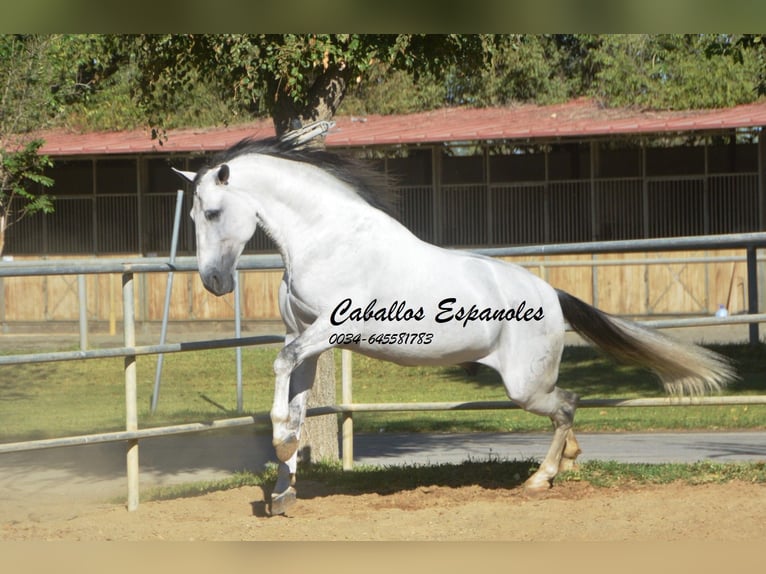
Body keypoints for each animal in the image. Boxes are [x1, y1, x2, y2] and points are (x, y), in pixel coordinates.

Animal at [174, 140, 736, 516]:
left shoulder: (329, 333)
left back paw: (540, 479)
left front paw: (280, 450)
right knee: (568, 407)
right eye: (195, 217)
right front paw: (282, 492)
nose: (215, 282)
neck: (330, 239)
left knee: (567, 404)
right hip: (529, 385)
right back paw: (568, 463)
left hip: (524, 385)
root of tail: (552, 295)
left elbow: (281, 371)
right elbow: (296, 400)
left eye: (214, 212)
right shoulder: (307, 340)